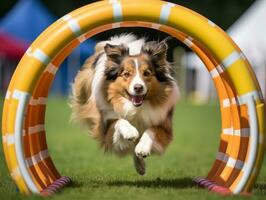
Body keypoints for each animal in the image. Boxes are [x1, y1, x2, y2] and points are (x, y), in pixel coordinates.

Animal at [70, 34, 179, 175]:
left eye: (147, 73)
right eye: (126, 74)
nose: (138, 88)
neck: (136, 108)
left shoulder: (165, 126)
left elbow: (152, 130)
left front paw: (142, 148)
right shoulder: (106, 130)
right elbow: (119, 121)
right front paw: (130, 132)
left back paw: (140, 165)